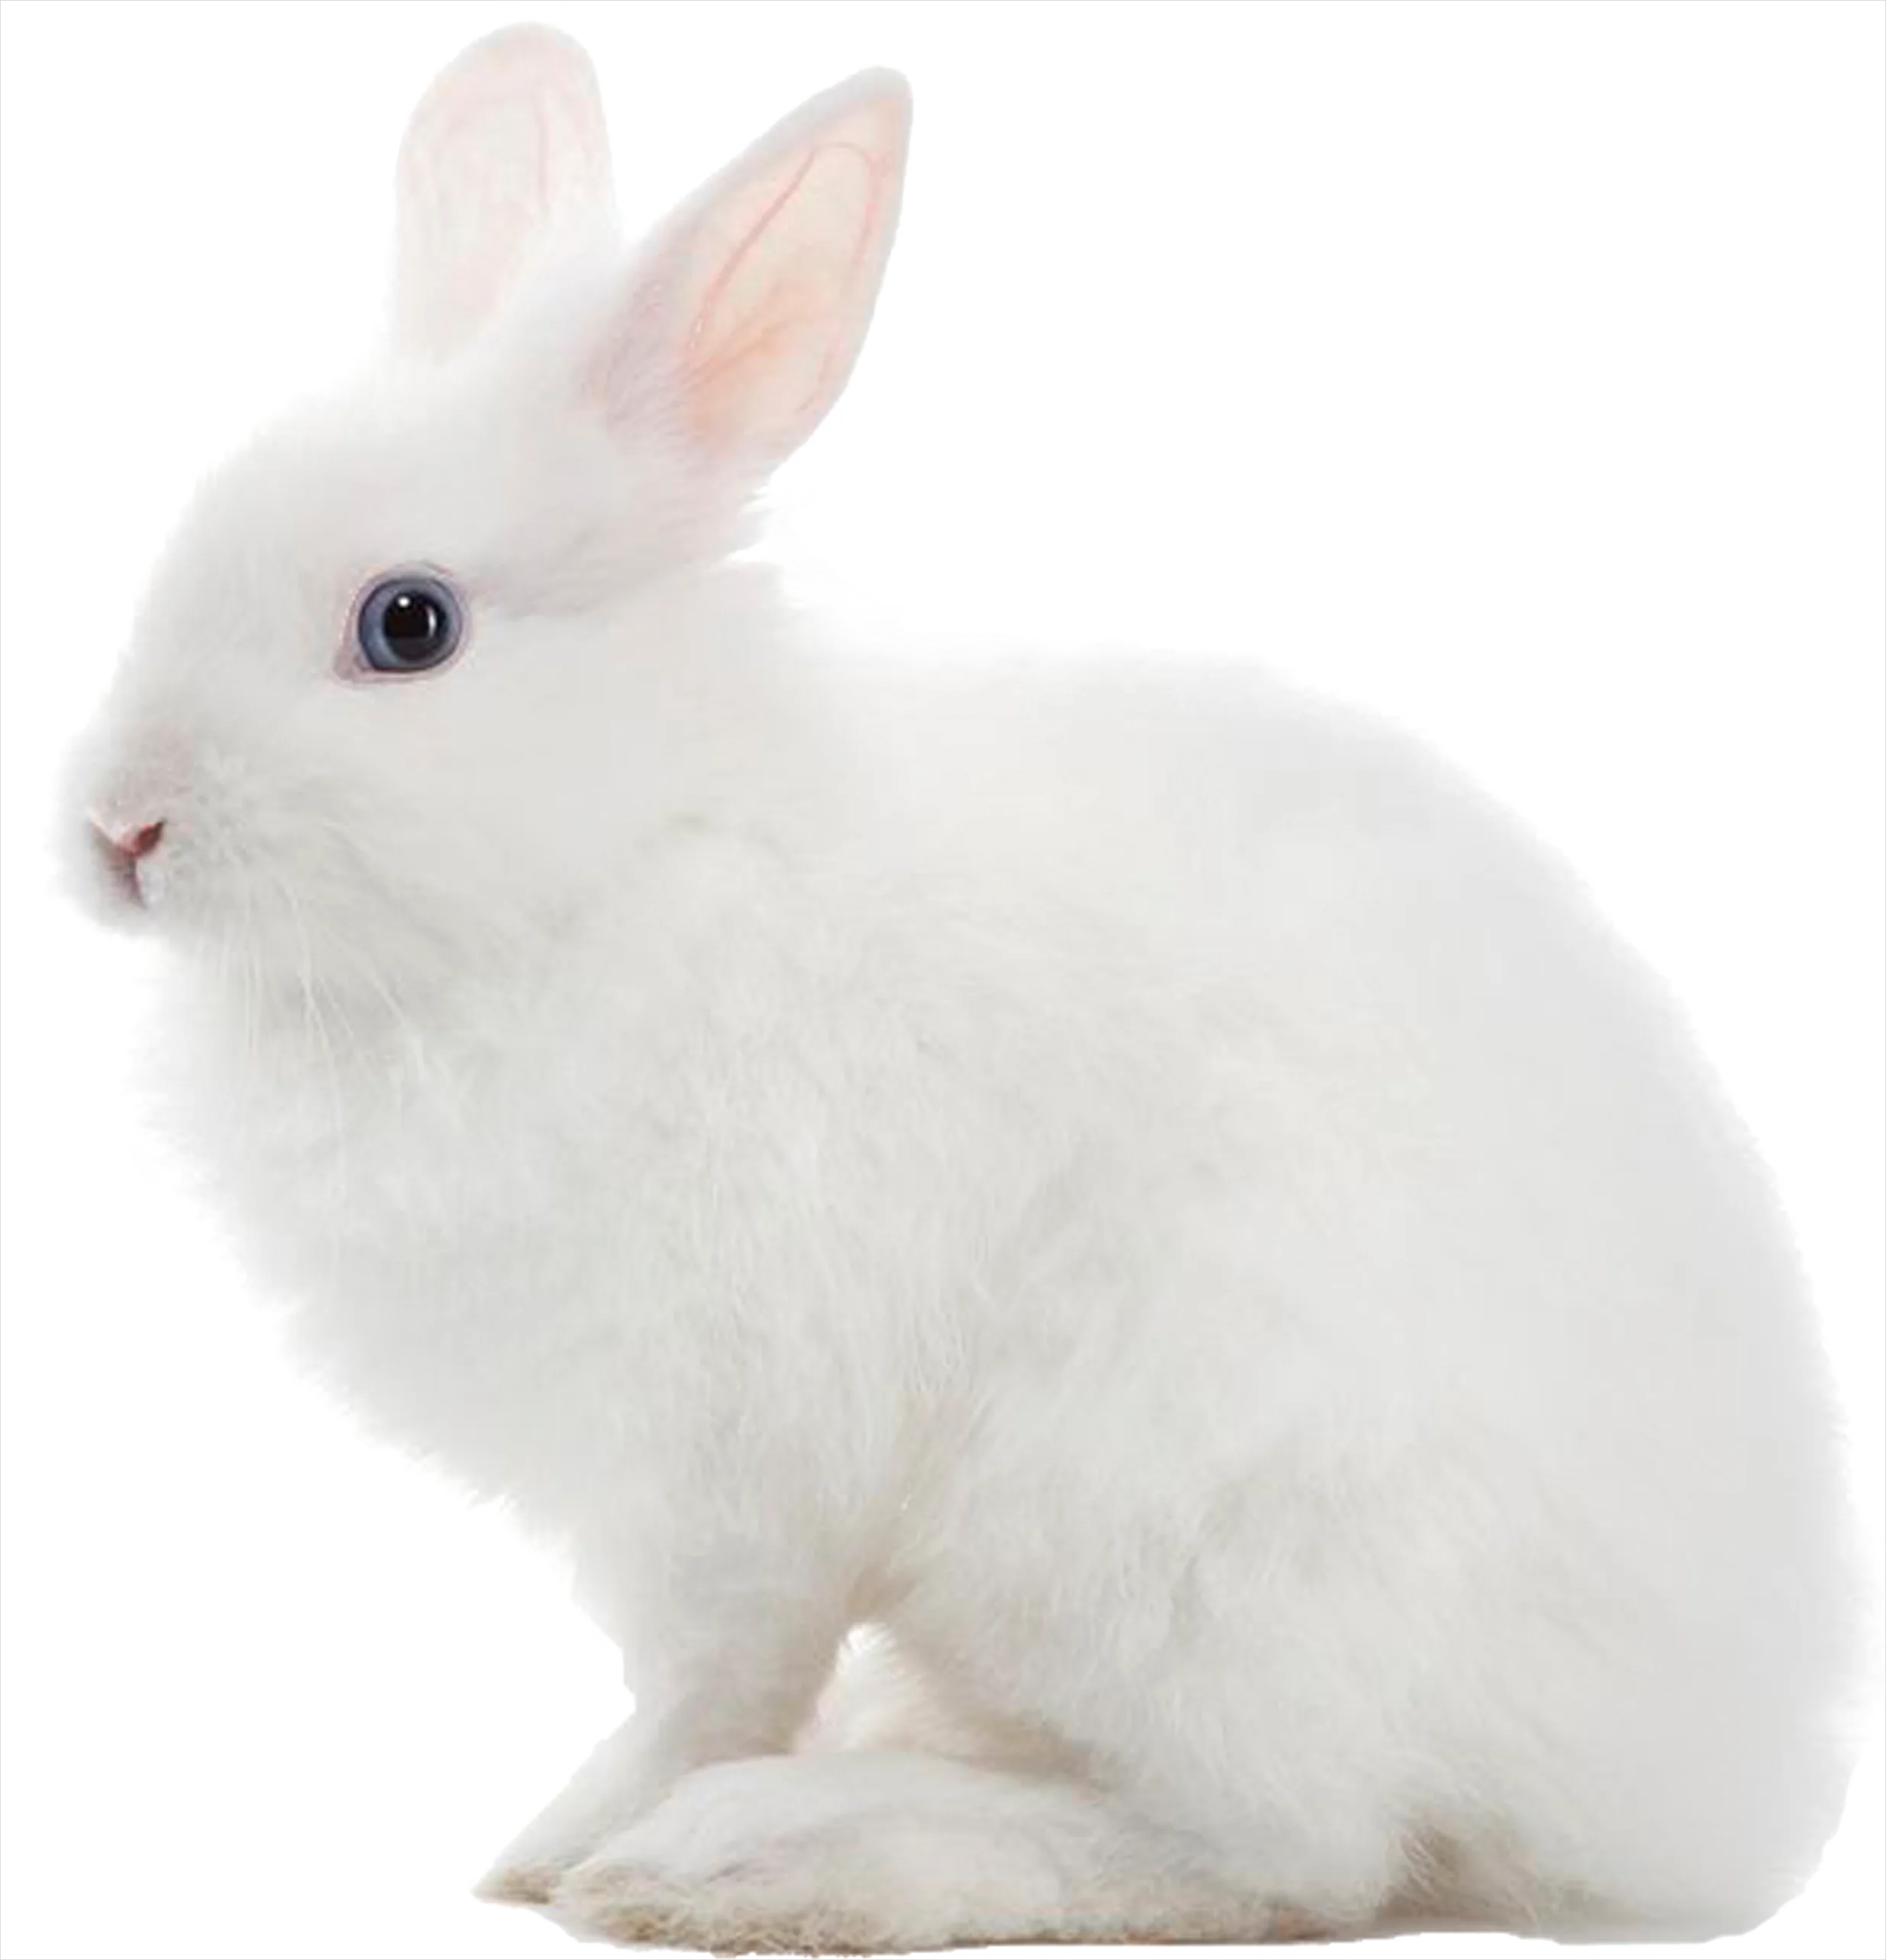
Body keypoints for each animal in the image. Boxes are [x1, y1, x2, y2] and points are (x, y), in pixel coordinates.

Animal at [36, 3, 1881, 1952]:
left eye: (408, 626)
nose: (113, 828)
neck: (624, 851)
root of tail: (1698, 1796)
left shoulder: (725, 1477)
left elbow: (704, 1681)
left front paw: (576, 1844)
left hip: (1163, 1531)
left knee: (1272, 1850)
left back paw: (777, 1851)